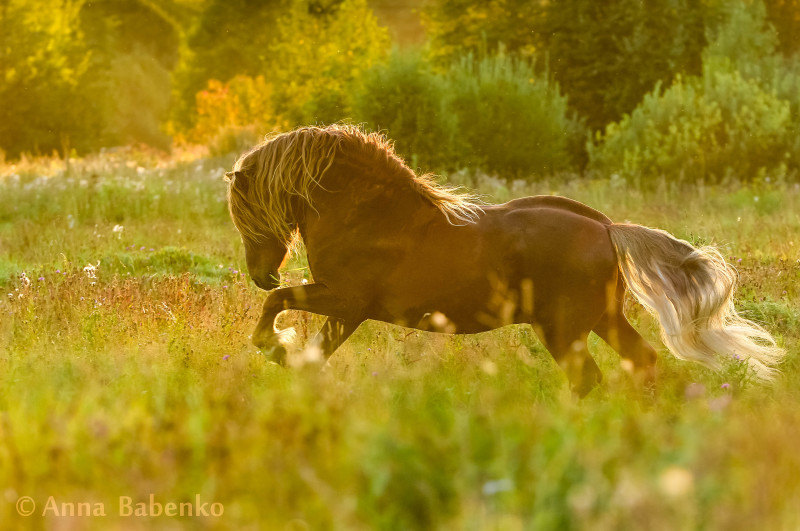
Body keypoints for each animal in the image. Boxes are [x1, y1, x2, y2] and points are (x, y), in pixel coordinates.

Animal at [223, 127, 780, 396]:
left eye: (249, 211)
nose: (260, 273)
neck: (371, 217)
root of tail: (606, 228)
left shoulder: (346, 301)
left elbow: (279, 307)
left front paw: (276, 347)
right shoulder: (346, 309)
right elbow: (313, 347)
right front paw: (290, 359)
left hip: (563, 328)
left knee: (588, 379)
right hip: (602, 318)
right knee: (640, 361)